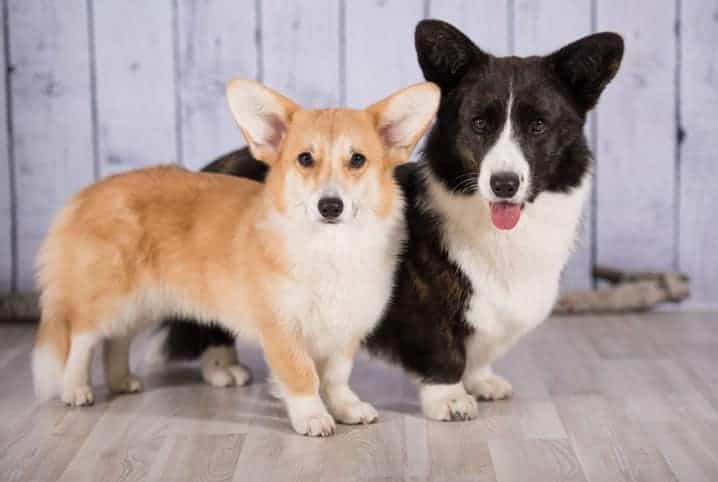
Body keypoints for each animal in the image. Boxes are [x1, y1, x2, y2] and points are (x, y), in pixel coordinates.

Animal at [32, 79, 438, 436]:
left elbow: (337, 376)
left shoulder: (346, 328)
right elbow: (302, 374)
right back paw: (75, 388)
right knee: (82, 337)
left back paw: (120, 381)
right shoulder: (281, 328)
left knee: (117, 339)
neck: (329, 249)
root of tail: (87, 194)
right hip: (111, 297)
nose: (330, 206)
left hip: (145, 301)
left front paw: (346, 408)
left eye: (357, 160)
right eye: (305, 159)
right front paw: (312, 417)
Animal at [158, 18, 624, 420]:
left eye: (538, 126)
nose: (504, 184)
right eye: (479, 124)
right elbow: (445, 352)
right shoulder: (426, 308)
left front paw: (481, 382)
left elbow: (479, 353)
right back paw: (222, 366)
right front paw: (450, 399)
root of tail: (211, 165)